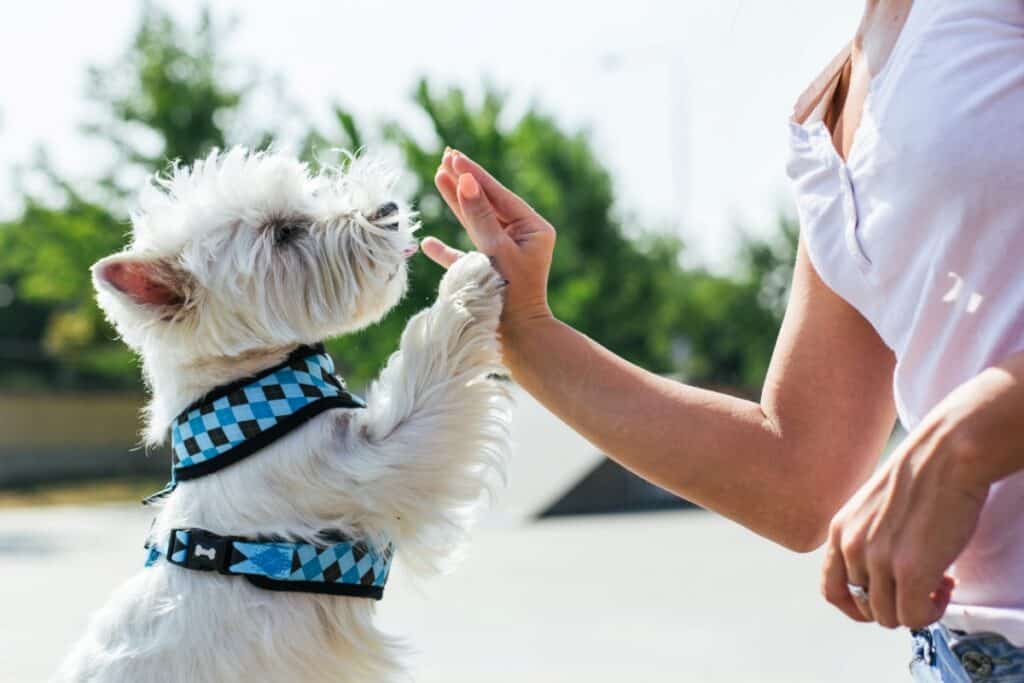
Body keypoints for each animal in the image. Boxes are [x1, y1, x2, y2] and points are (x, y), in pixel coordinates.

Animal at [56, 147, 512, 679]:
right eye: (283, 233)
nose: (388, 210)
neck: (248, 399)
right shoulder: (369, 464)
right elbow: (428, 370)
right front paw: (468, 279)